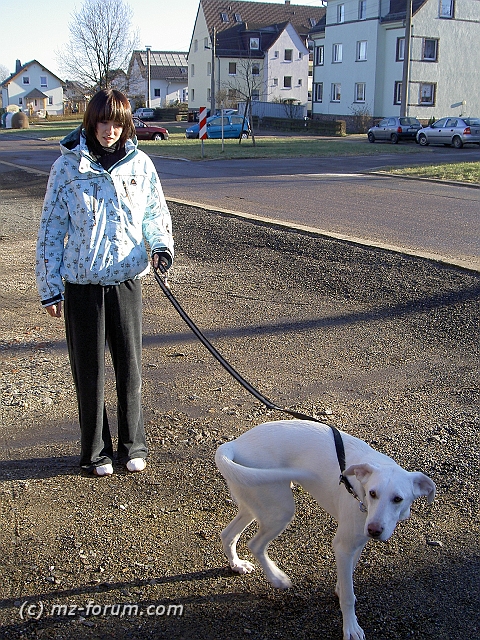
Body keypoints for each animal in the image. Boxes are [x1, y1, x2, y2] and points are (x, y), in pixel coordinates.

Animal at [214, 420, 436, 640]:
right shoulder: (343, 545)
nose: (374, 530)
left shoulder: (356, 543)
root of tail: (234, 444)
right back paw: (277, 578)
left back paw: (237, 564)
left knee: (228, 534)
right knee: (255, 544)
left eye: (398, 499)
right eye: (373, 493)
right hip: (279, 509)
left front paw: (340, 588)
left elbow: (349, 574)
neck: (359, 490)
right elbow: (348, 596)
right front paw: (351, 627)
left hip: (255, 504)